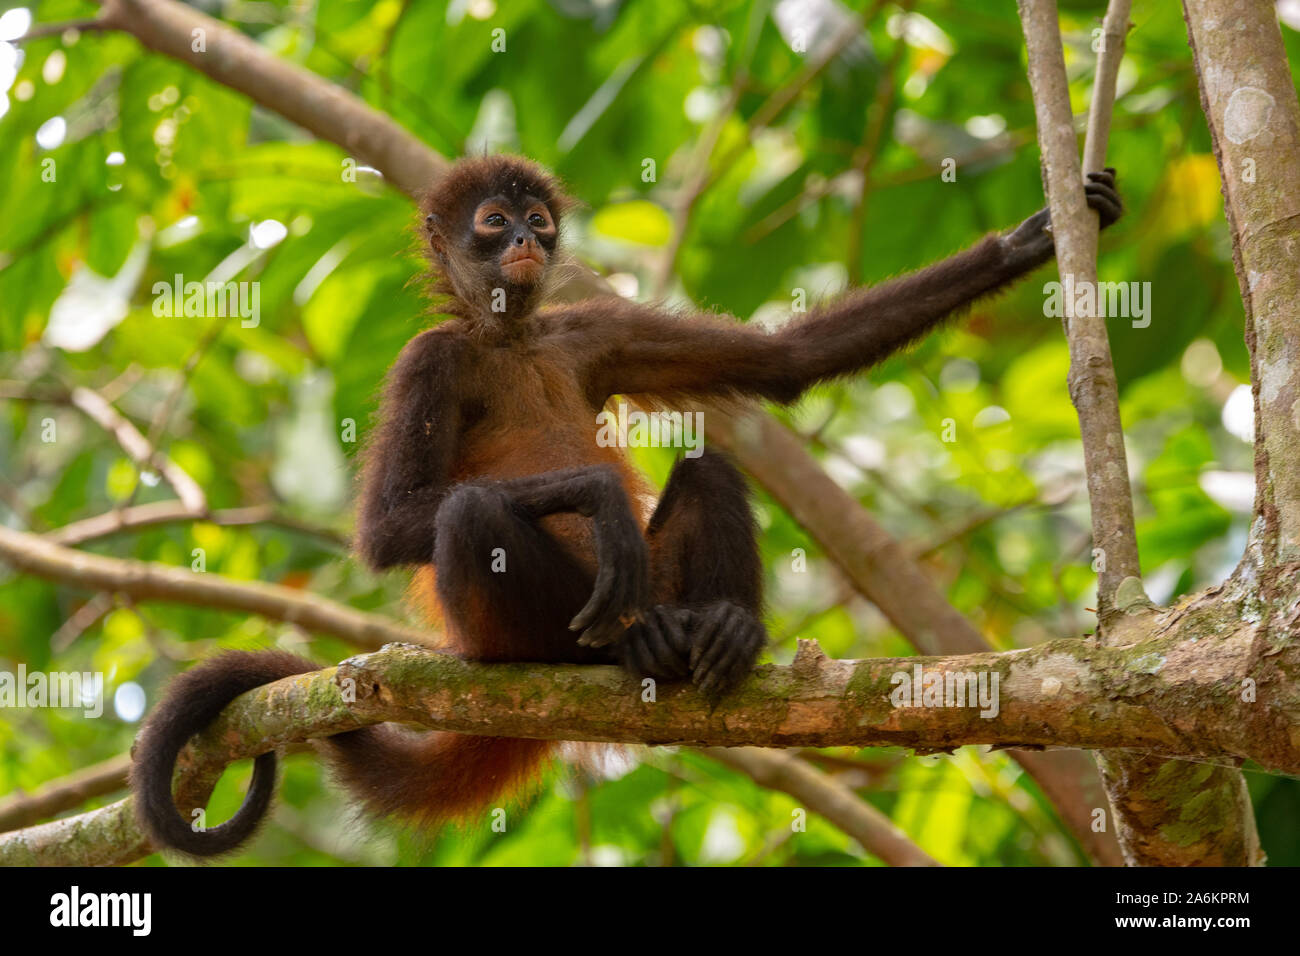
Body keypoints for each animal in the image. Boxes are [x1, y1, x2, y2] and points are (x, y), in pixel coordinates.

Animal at [134, 153, 1128, 858]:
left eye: (537, 221)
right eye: (492, 222)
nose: (526, 240)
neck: (510, 336)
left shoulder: (586, 330)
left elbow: (786, 362)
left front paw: (1033, 238)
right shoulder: (428, 358)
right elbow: (388, 533)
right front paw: (599, 495)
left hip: (660, 579)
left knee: (709, 469)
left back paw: (718, 631)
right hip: (508, 632)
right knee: (471, 520)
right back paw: (619, 644)